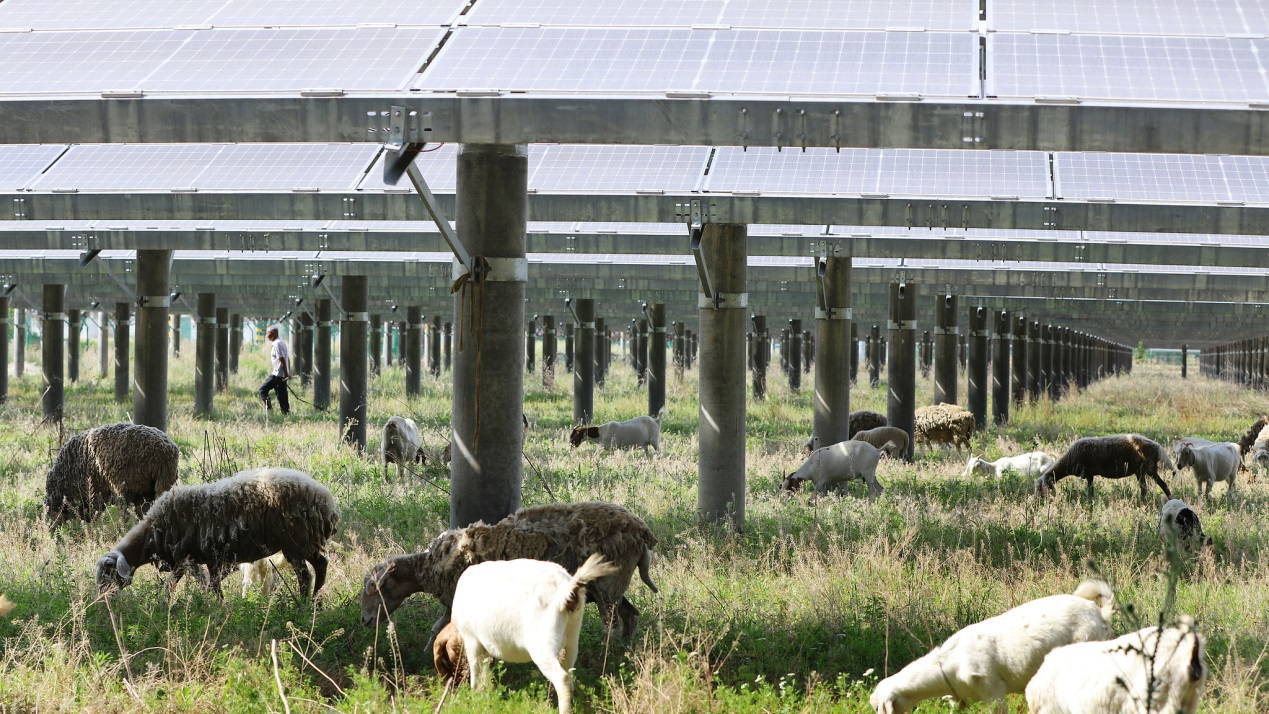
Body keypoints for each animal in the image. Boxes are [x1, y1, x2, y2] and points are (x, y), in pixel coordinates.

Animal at [95, 467, 338, 600]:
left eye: (108, 573)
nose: (102, 601)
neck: (151, 535)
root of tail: (326, 501)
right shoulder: (205, 559)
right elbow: (209, 585)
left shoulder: (187, 558)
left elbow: (178, 585)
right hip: (305, 542)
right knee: (321, 564)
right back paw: (316, 599)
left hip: (295, 542)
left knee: (305, 575)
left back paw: (304, 603)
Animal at [360, 501, 658, 649]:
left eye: (375, 588)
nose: (364, 621)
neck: (431, 565)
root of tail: (643, 531)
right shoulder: (454, 601)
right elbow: (437, 628)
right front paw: (429, 655)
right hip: (611, 584)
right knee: (630, 615)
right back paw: (625, 650)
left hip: (608, 584)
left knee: (612, 624)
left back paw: (606, 656)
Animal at [454, 554, 617, 714]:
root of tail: (565, 592)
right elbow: (485, 671)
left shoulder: (471, 639)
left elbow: (475, 670)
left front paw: (474, 697)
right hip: (572, 638)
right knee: (569, 675)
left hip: (543, 642)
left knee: (563, 679)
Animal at [1035, 434, 1176, 501]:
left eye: (1042, 489)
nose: (1039, 503)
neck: (1069, 460)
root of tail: (1158, 447)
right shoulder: (1089, 475)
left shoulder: (1089, 473)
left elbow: (1090, 492)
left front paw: (1090, 505)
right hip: (1148, 470)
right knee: (1163, 485)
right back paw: (1170, 499)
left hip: (1143, 470)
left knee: (1146, 489)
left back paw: (1141, 503)